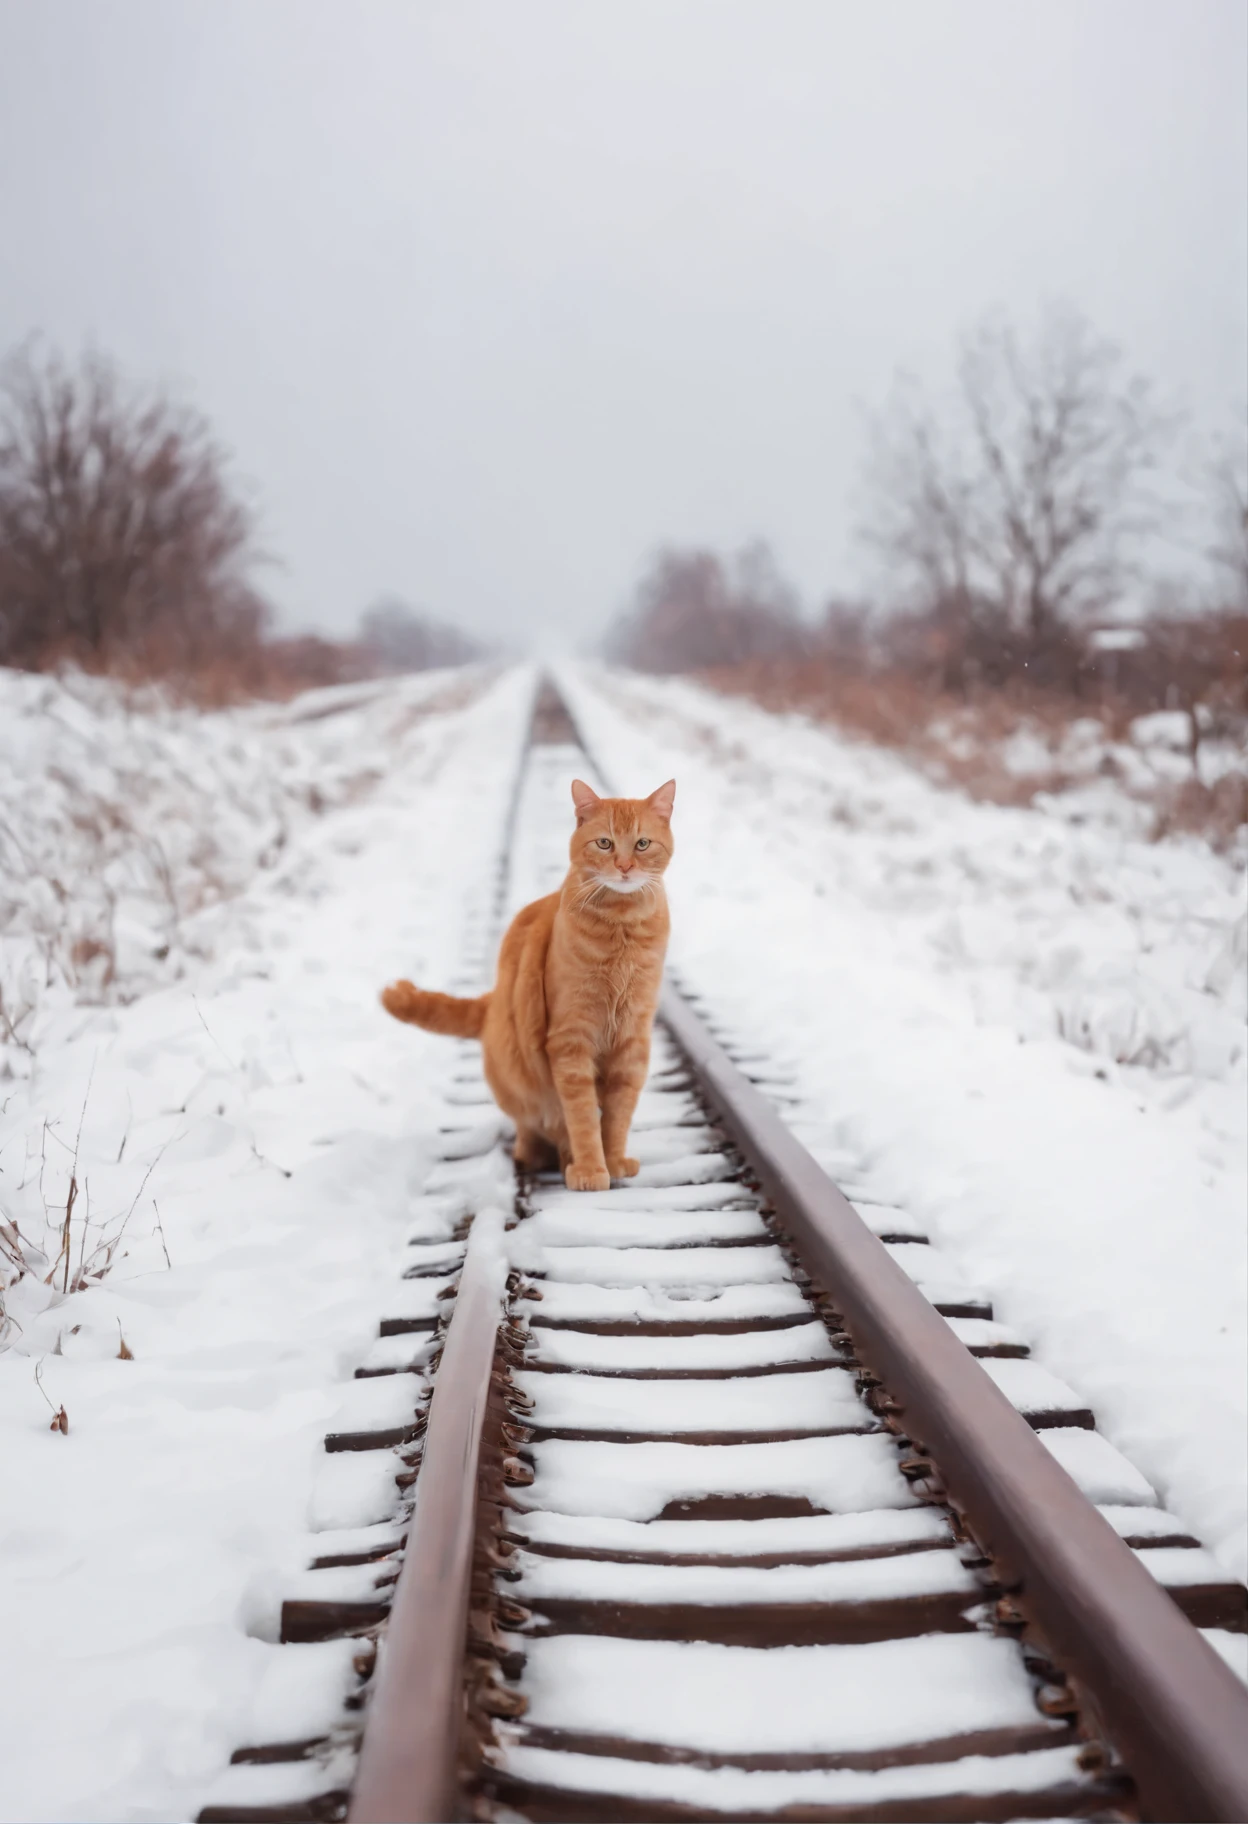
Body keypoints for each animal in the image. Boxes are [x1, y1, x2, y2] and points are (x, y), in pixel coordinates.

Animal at [383, 777, 678, 1189]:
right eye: (604, 843)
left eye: (642, 844)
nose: (624, 867)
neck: (622, 929)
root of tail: (491, 1003)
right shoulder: (570, 1040)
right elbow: (582, 1117)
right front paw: (590, 1169)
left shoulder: (632, 1040)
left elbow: (618, 1113)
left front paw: (614, 1159)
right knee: (533, 1128)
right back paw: (545, 1156)